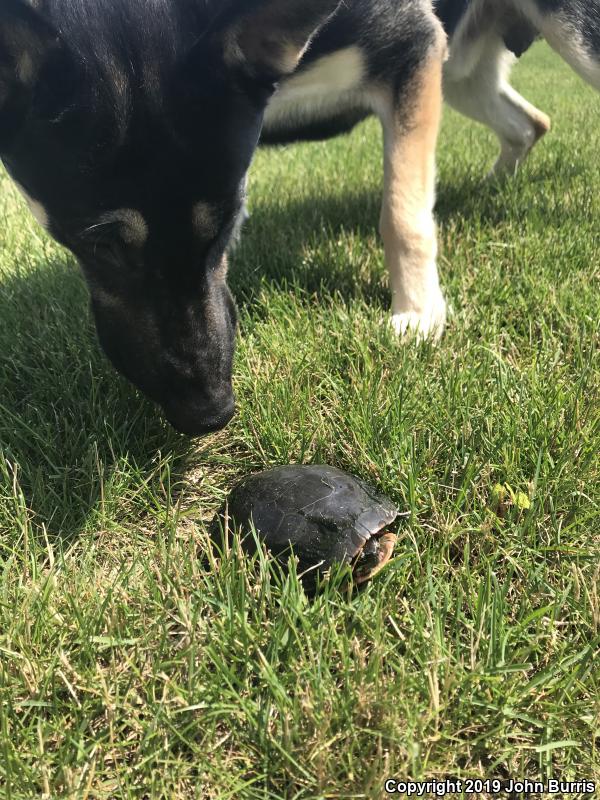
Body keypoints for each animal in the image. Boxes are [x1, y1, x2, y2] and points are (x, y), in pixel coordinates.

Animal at [0, 3, 596, 434]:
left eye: (223, 223)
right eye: (100, 246)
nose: (209, 413)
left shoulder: (412, 41)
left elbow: (401, 210)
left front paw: (418, 310)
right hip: (464, 72)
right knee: (529, 124)